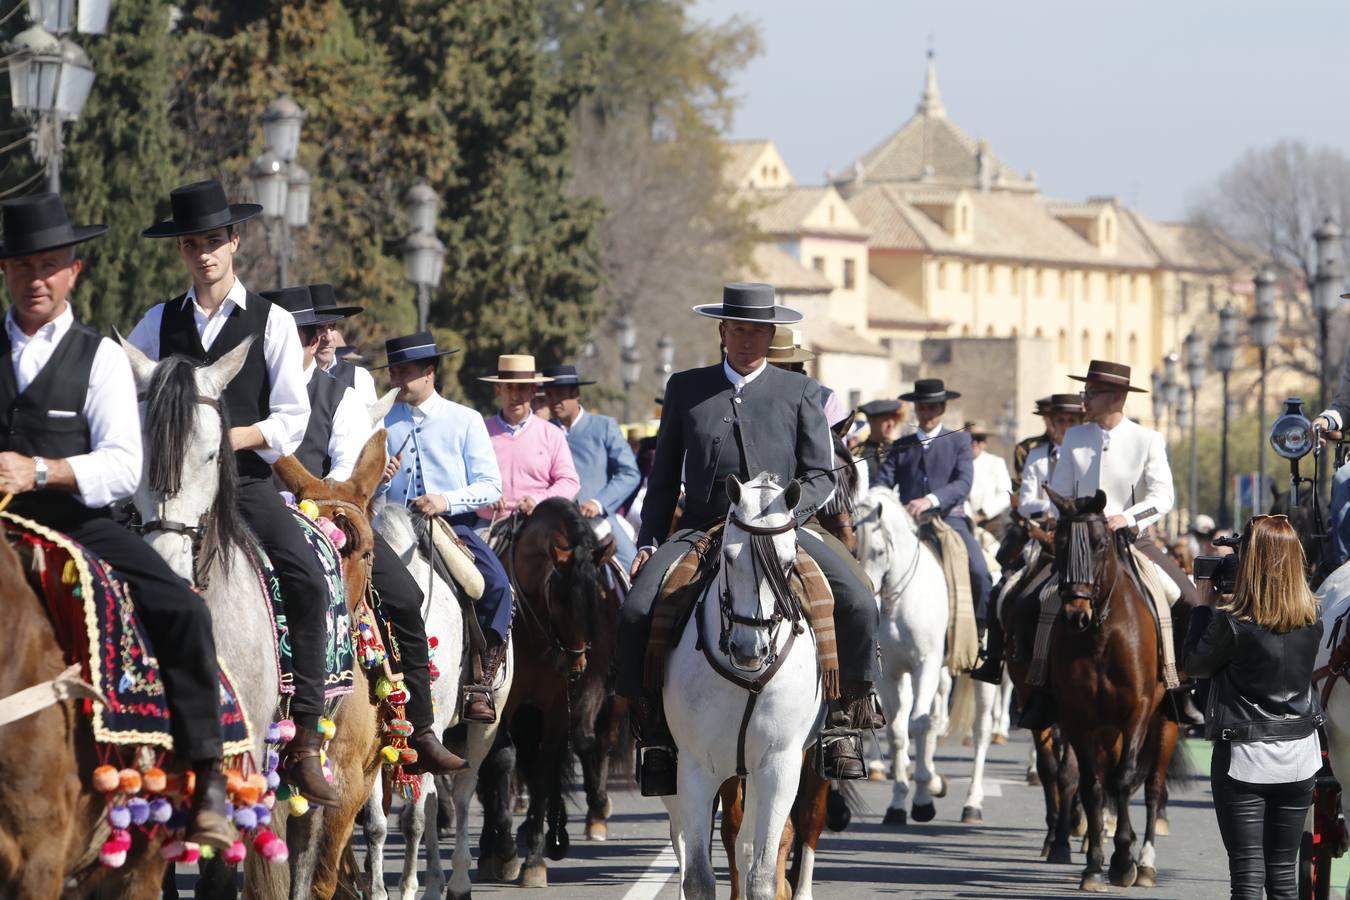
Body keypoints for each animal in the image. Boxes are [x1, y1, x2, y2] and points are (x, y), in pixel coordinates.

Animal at [361, 507, 513, 900]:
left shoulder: (431, 733)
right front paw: (378, 888)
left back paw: (457, 882)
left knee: (459, 796)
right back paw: (433, 883)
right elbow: (376, 822)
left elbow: (415, 816)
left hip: (482, 730)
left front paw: (407, 887)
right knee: (433, 801)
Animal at [475, 504, 621, 890]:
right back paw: (490, 847)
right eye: (561, 599)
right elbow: (503, 762)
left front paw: (536, 861)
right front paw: (506, 852)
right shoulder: (504, 708)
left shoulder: (558, 706)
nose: (576, 663)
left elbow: (544, 767)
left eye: (598, 598)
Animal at [661, 472, 815, 900]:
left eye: (787, 561)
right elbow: (698, 875)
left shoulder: (780, 766)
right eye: (729, 558)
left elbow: (761, 871)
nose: (750, 648)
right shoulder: (694, 765)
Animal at [858, 488, 999, 825]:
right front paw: (899, 802)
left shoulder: (926, 666)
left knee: (981, 731)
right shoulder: (890, 674)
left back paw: (972, 802)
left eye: (879, 551)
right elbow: (898, 732)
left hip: (981, 678)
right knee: (935, 719)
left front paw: (923, 798)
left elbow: (918, 725)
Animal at [1036, 488, 1177, 890]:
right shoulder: (1078, 718)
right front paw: (1096, 864)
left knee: (1153, 786)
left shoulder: (1139, 711)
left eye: (1100, 544)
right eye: (1060, 542)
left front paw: (1123, 861)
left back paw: (1145, 862)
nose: (1076, 614)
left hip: (1164, 723)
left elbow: (1125, 779)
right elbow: (1092, 785)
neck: (1102, 635)